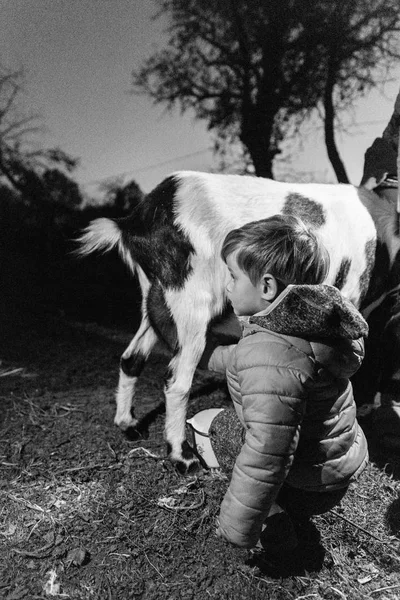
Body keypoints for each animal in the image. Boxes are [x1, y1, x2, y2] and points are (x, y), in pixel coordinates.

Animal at [76, 170, 398, 474]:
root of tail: (135, 222)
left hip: (156, 300)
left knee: (131, 358)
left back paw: (128, 425)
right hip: (190, 301)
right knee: (177, 382)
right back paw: (183, 457)